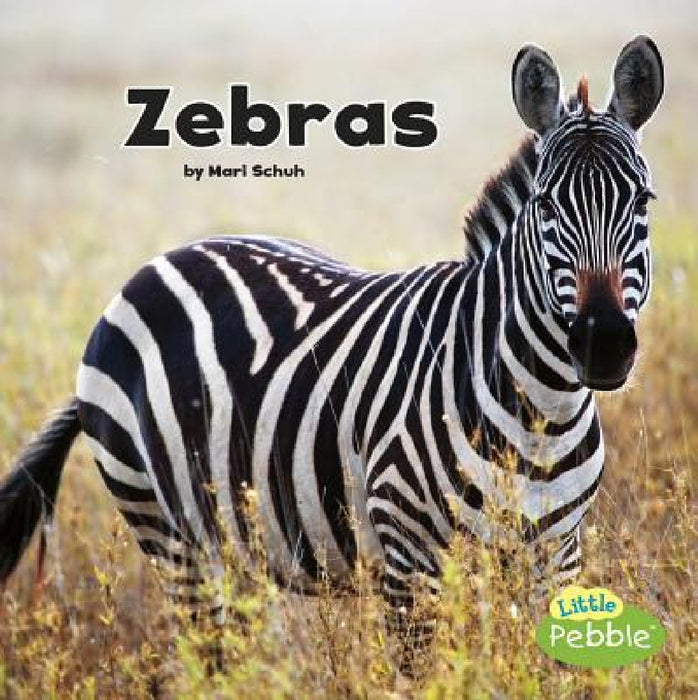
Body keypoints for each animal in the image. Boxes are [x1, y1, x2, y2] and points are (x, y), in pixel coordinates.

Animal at [0, 36, 663, 672]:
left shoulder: (557, 553)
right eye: (546, 206)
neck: (540, 414)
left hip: (238, 541)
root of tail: (152, 266)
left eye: (644, 203)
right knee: (207, 657)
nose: (603, 344)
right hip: (170, 533)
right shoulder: (409, 558)